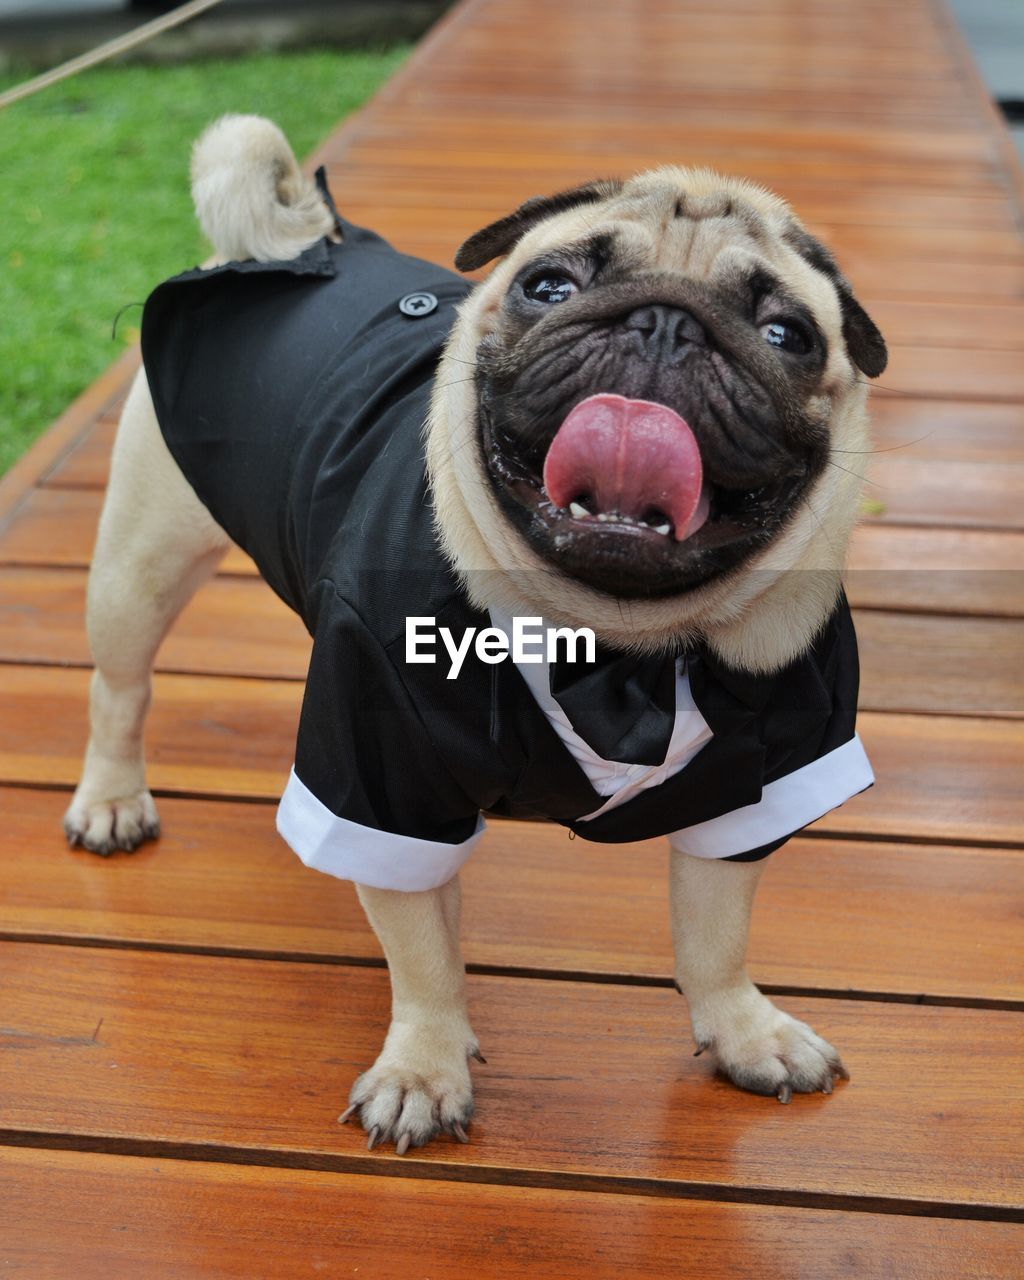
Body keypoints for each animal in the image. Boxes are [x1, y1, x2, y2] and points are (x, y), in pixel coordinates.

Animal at [64, 115, 885, 1157]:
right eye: (550, 287)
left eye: (787, 335)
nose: (666, 322)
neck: (607, 642)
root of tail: (305, 239)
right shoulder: (383, 769)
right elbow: (422, 953)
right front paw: (423, 1069)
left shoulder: (767, 764)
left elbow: (717, 927)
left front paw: (745, 1031)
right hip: (141, 562)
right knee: (119, 689)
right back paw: (110, 800)